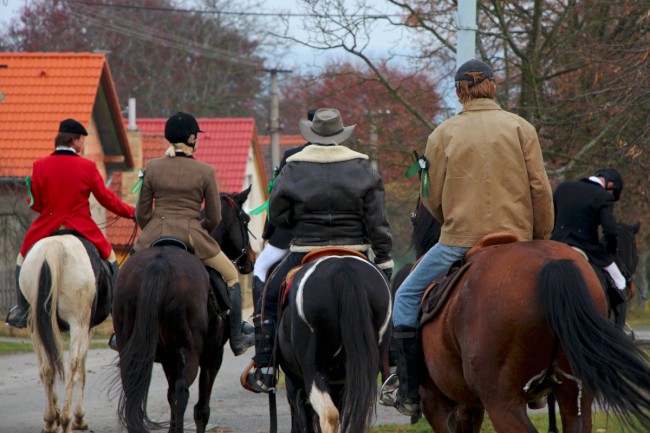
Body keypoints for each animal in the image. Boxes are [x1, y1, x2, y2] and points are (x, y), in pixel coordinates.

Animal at [111, 189, 253, 432]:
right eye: (245, 219)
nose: (250, 260)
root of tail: (158, 264)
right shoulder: (213, 355)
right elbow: (201, 409)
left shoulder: (169, 359)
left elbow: (169, 397)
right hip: (190, 352)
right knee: (182, 393)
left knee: (135, 391)